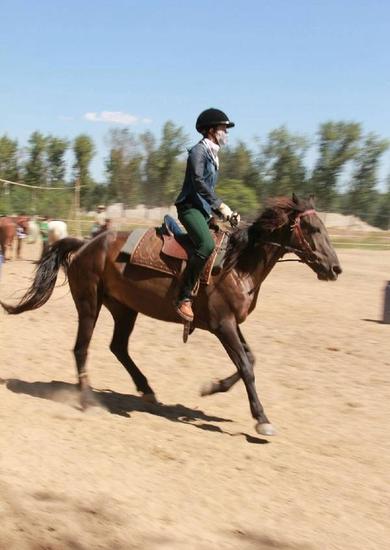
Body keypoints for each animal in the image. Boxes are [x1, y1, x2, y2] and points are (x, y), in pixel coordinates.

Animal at [0, 196, 342, 438]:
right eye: (313, 229)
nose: (335, 268)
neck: (237, 265)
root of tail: (86, 245)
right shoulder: (223, 325)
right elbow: (246, 366)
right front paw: (262, 420)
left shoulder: (231, 323)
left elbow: (250, 360)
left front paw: (212, 387)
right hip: (89, 304)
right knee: (82, 348)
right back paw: (87, 400)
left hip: (124, 308)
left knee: (118, 347)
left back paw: (147, 390)